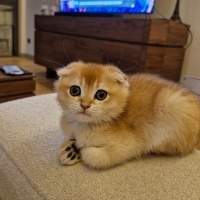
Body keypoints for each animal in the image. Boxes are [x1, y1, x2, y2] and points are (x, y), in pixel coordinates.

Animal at [54, 61, 200, 169]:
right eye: (75, 90)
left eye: (101, 95)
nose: (84, 105)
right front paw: (72, 148)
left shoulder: (132, 146)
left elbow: (96, 157)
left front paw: (80, 150)